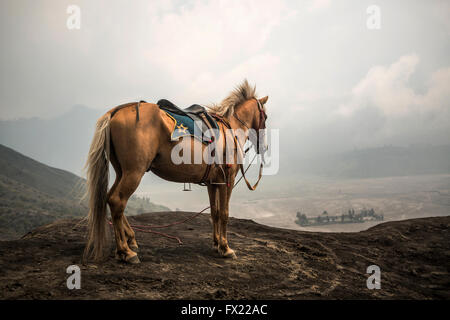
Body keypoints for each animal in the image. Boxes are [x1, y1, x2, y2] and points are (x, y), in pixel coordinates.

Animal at [84, 79, 268, 262]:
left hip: (122, 171)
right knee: (117, 201)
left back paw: (129, 241)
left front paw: (216, 244)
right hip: (134, 172)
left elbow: (214, 212)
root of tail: (116, 111)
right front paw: (225, 247)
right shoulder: (227, 180)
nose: (264, 146)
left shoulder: (213, 182)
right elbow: (224, 213)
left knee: (111, 198)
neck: (230, 130)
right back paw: (125, 251)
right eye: (265, 117)